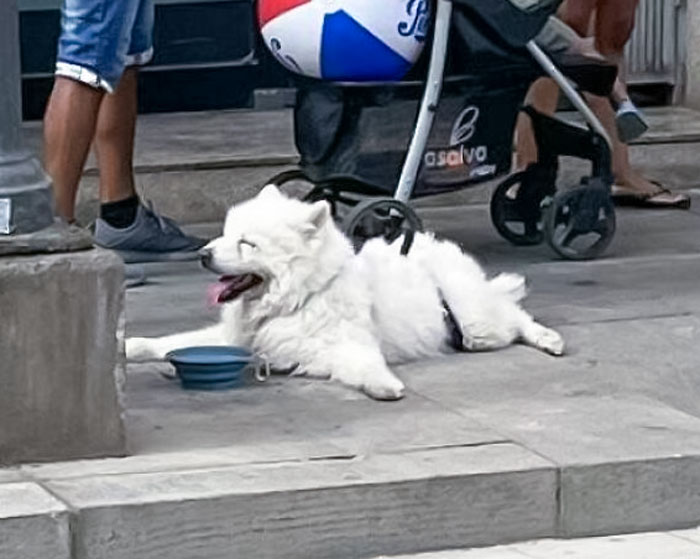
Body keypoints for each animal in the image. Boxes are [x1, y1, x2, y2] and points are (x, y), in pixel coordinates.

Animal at [126, 186, 564, 400]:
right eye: (225, 234)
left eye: (247, 243)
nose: (203, 254)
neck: (296, 300)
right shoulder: (234, 338)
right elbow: (172, 342)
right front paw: (133, 346)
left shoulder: (343, 346)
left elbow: (365, 364)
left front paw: (385, 386)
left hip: (477, 327)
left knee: (516, 316)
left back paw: (550, 339)